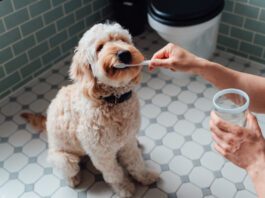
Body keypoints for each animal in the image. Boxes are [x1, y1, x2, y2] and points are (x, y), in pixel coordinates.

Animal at [21, 22, 158, 196]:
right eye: (99, 48)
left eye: (122, 40)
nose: (124, 54)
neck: (113, 100)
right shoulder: (101, 153)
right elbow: (114, 173)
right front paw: (124, 187)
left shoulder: (127, 141)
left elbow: (136, 162)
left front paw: (144, 176)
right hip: (65, 159)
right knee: (69, 169)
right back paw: (73, 179)